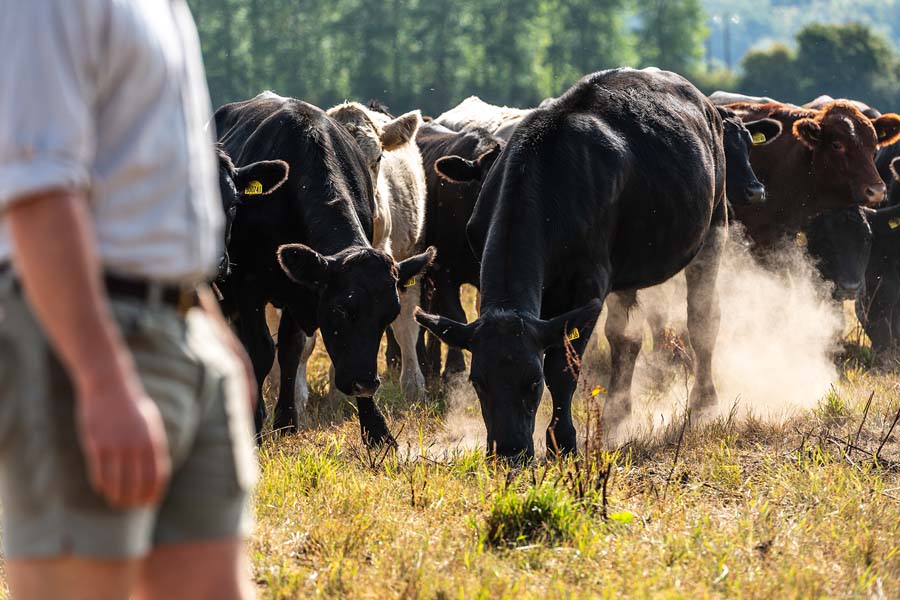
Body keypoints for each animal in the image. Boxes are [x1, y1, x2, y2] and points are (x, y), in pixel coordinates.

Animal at [416, 68, 729, 459]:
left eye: (533, 383)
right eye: (478, 382)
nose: (509, 450)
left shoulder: (586, 286)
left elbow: (564, 369)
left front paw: (561, 441)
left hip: (715, 224)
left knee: (702, 319)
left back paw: (704, 403)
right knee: (626, 339)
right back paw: (616, 413)